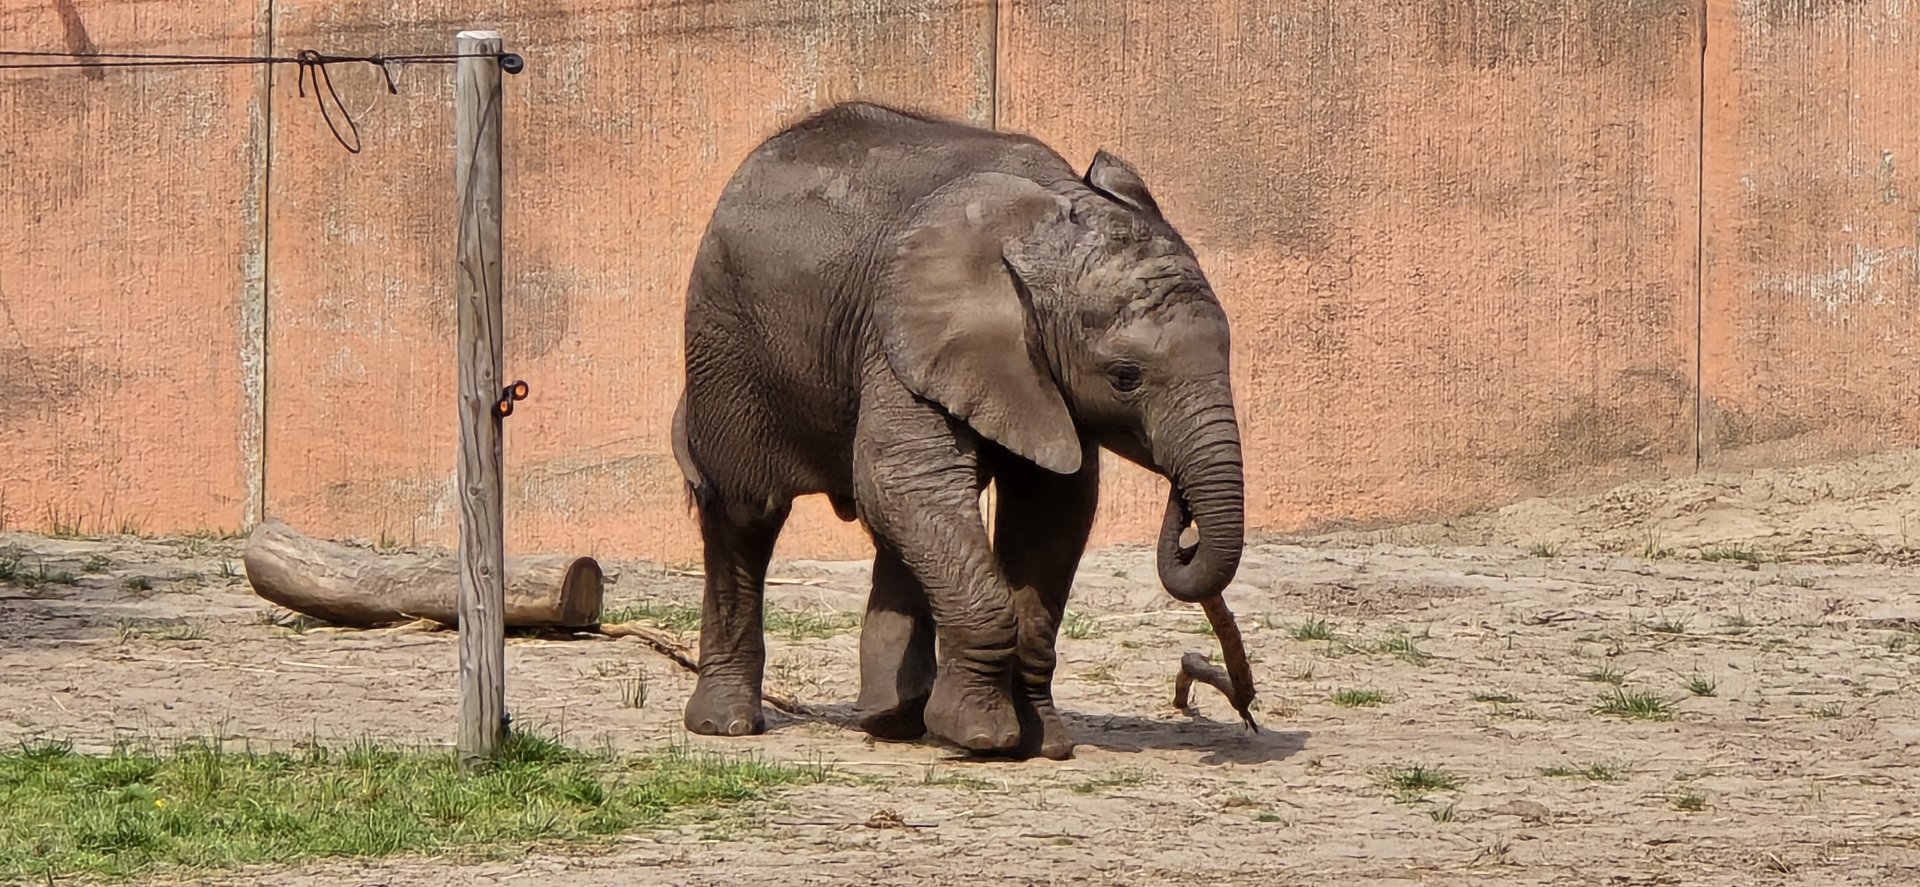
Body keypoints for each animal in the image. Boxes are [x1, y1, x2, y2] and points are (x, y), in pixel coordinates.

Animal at [670, 101, 1256, 760]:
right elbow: (904, 482)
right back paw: (728, 725)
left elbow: (1053, 509)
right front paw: (981, 736)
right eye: (1125, 377)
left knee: (899, 526)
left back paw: (892, 721)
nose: (1182, 516)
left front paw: (1043, 743)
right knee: (748, 512)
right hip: (726, 340)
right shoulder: (900, 337)